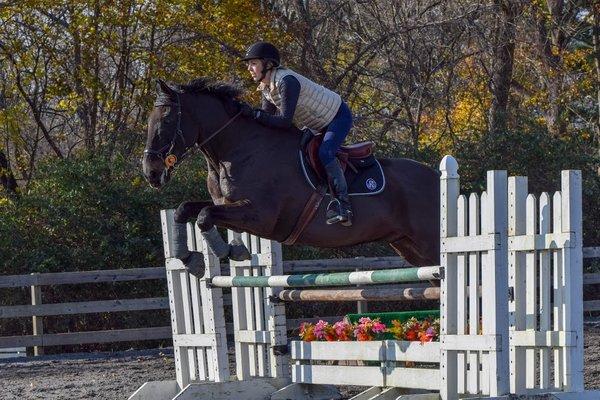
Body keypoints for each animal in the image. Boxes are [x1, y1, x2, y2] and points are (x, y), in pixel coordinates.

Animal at [141, 78, 440, 268]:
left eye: (166, 120)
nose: (151, 173)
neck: (236, 150)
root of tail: (437, 178)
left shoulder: (261, 216)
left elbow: (204, 216)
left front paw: (228, 251)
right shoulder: (228, 206)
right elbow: (186, 209)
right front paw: (192, 260)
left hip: (430, 243)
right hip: (409, 247)